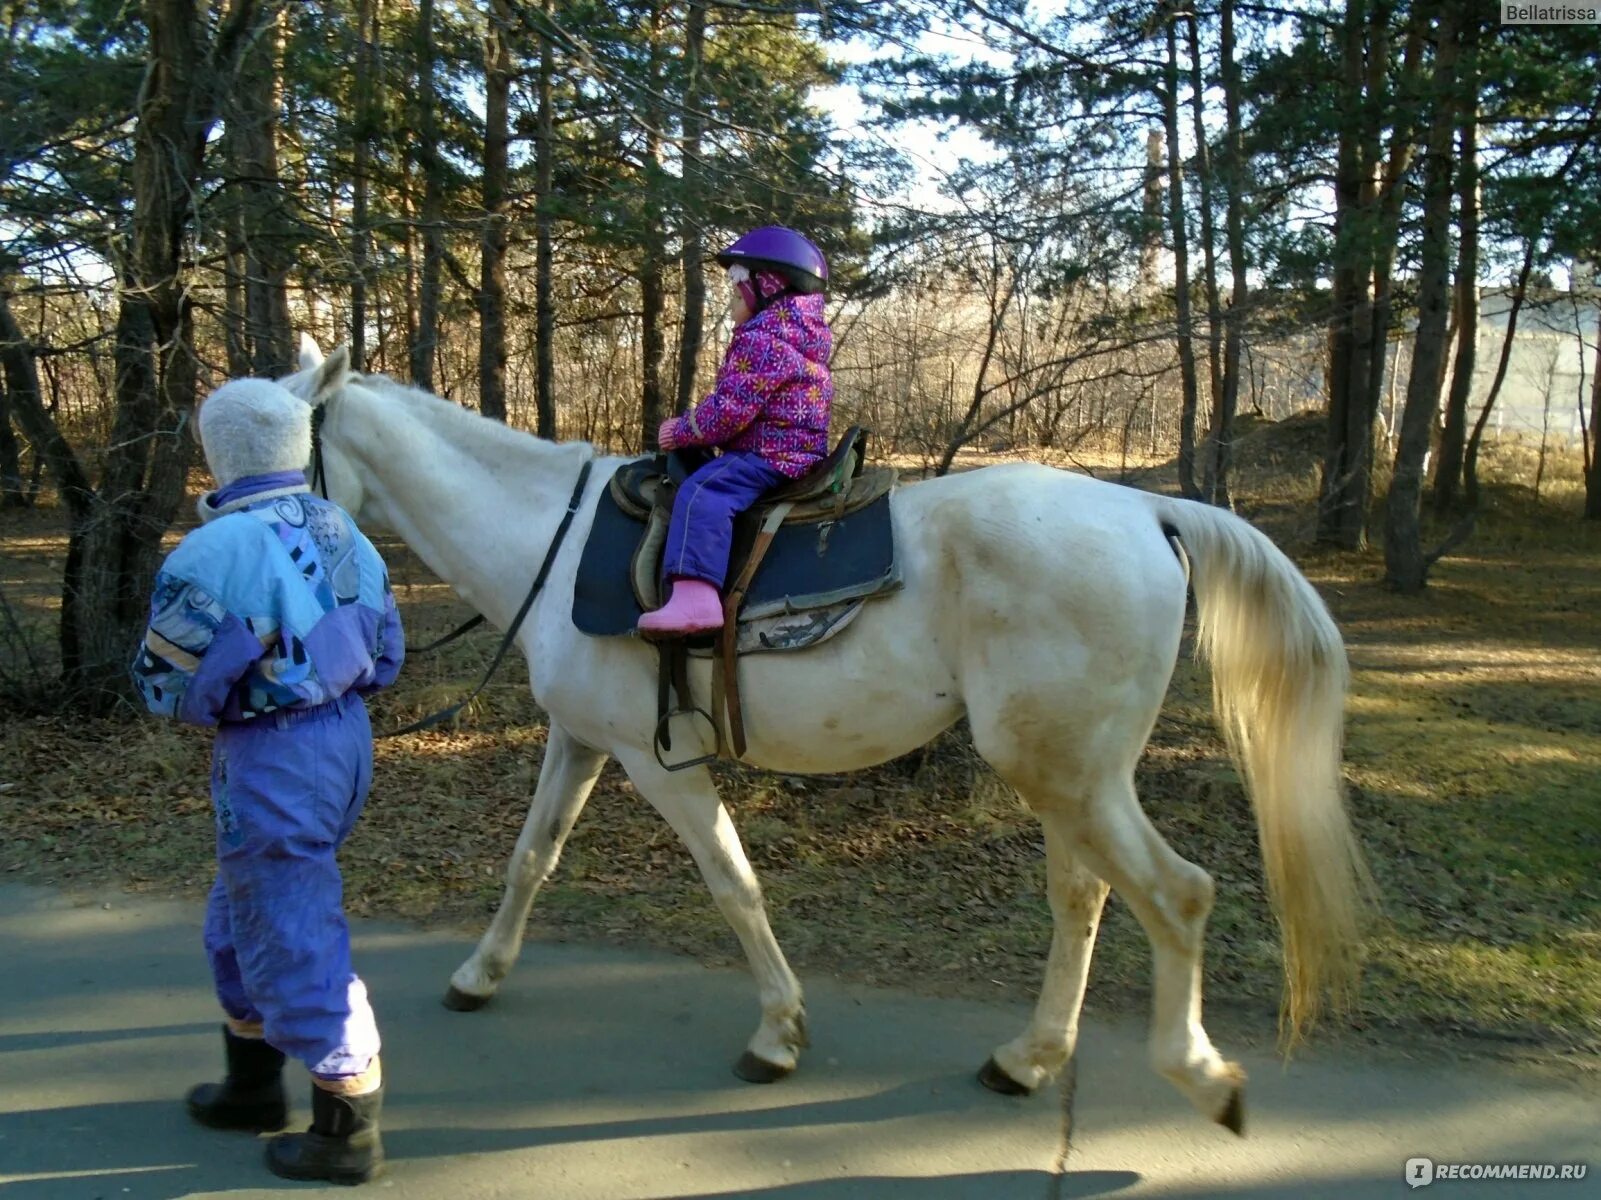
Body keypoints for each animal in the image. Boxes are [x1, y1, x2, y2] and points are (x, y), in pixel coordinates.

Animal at [281, 340, 1370, 1139]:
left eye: (282, 446)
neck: (550, 536)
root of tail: (1146, 508)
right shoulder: (580, 741)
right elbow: (529, 859)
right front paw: (478, 976)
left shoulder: (654, 761)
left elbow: (732, 883)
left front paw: (775, 1034)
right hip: (1071, 774)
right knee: (1084, 898)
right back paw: (1027, 1059)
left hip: (1068, 773)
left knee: (1173, 894)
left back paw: (1198, 1075)